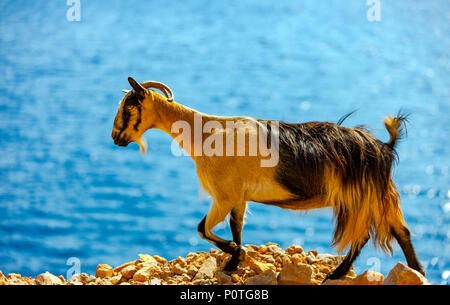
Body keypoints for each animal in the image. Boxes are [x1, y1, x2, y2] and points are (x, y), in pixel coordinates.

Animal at [110, 77, 424, 282]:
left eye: (128, 108)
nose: (116, 138)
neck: (205, 133)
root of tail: (385, 146)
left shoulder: (224, 195)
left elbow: (202, 229)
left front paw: (234, 253)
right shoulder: (238, 197)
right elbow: (235, 227)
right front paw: (233, 262)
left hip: (362, 194)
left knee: (365, 234)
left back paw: (338, 273)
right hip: (381, 193)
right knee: (401, 230)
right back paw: (417, 270)